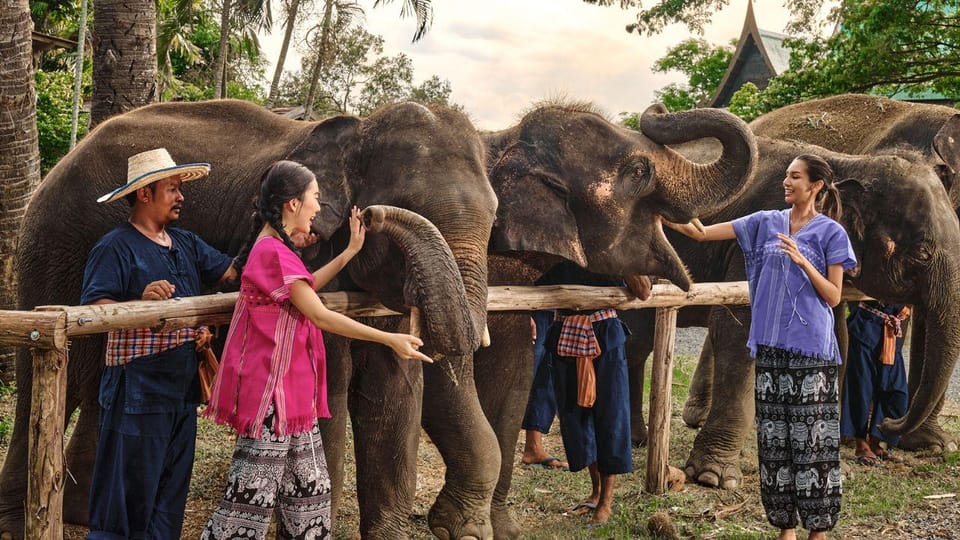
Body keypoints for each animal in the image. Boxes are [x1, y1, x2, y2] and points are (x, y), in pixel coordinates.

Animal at [1, 99, 502, 536]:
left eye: (495, 217)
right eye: (406, 202)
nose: (372, 215)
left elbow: (394, 394)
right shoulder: (316, 258)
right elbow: (329, 388)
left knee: (98, 383)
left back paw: (87, 517)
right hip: (54, 250)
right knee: (52, 378)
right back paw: (20, 524)